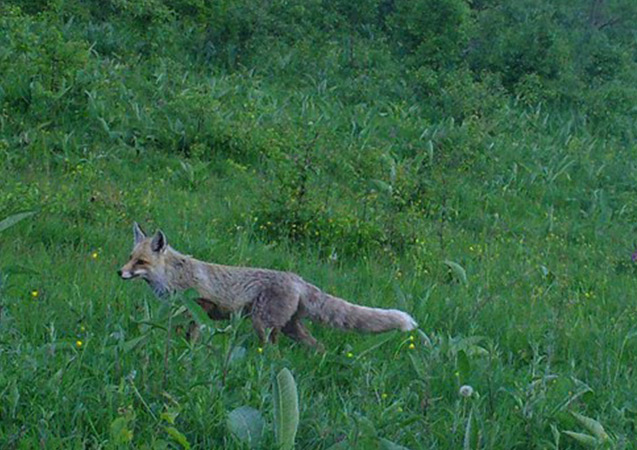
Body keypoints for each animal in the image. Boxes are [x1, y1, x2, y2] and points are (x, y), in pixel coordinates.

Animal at [118, 223, 418, 350]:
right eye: (130, 257)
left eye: (140, 261)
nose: (119, 272)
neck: (173, 276)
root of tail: (297, 279)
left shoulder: (199, 306)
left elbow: (193, 336)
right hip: (288, 327)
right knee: (315, 345)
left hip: (262, 324)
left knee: (270, 350)